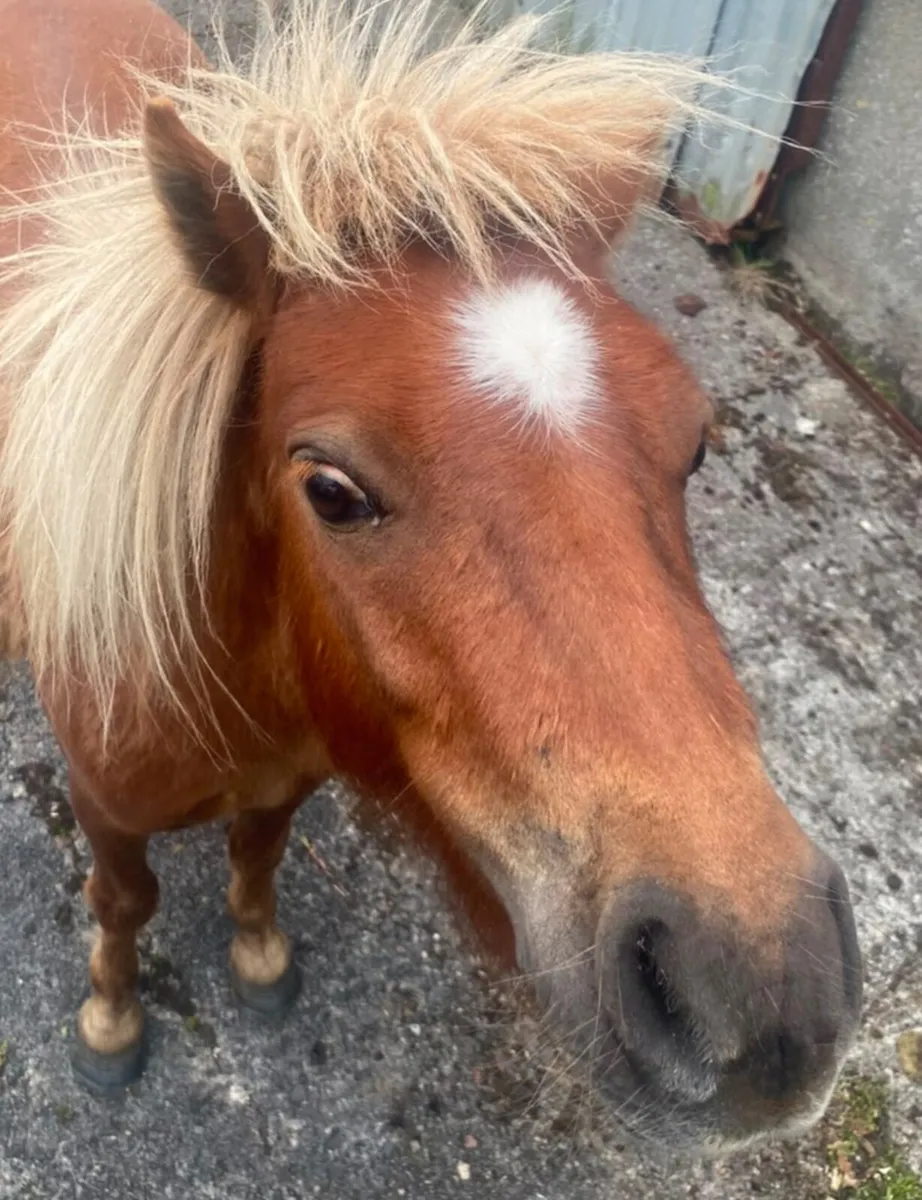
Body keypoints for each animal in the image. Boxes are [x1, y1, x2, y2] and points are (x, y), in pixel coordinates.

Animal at [0, 0, 861, 1153]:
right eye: (330, 490)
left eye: (694, 444)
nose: (765, 989)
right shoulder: (104, 809)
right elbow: (123, 905)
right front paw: (109, 1025)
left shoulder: (289, 778)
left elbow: (258, 855)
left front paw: (260, 961)